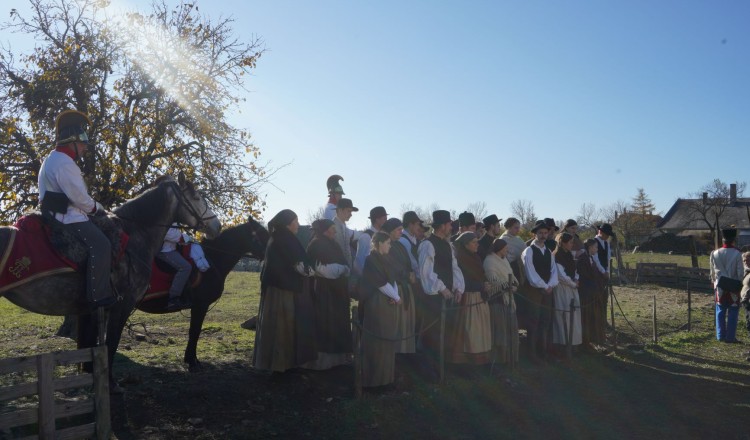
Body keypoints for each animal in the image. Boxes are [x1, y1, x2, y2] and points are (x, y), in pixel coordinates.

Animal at [0, 173, 222, 388]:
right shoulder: (121, 306)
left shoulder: (94, 310)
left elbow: (92, 345)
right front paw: (111, 383)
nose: (217, 226)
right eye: (196, 197)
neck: (135, 236)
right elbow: (111, 343)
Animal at [135, 218, 270, 370]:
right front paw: (192, 362)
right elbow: (195, 331)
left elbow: (195, 332)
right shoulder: (200, 306)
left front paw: (192, 359)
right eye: (262, 234)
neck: (213, 258)